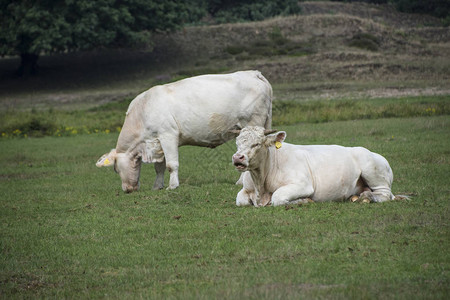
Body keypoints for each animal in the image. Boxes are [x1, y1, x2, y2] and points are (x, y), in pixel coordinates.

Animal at [97, 70, 272, 192]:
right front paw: (157, 186)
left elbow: (171, 164)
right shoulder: (157, 142)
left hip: (252, 123)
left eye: (115, 169)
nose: (127, 190)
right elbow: (159, 167)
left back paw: (241, 182)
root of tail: (254, 73)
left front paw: (173, 186)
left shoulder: (168, 135)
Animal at [232, 126, 394, 206]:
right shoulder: (246, 189)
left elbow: (277, 198)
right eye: (237, 143)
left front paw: (304, 201)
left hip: (372, 171)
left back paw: (367, 197)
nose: (237, 157)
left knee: (385, 194)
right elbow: (240, 201)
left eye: (257, 144)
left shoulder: (303, 185)